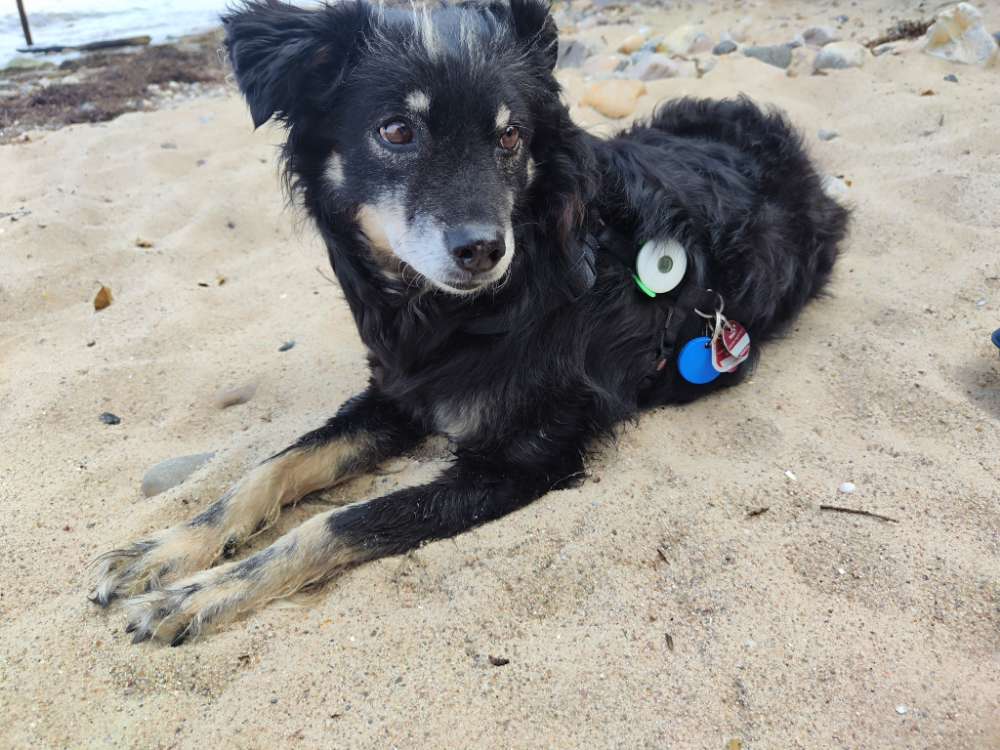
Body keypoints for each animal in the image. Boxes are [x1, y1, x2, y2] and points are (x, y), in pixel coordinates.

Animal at [90, 0, 848, 648]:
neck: (473, 311)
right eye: (397, 130)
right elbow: (269, 470)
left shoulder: (518, 461)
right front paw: (165, 551)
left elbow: (340, 520)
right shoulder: (398, 394)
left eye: (510, 135)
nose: (483, 249)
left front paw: (202, 592)